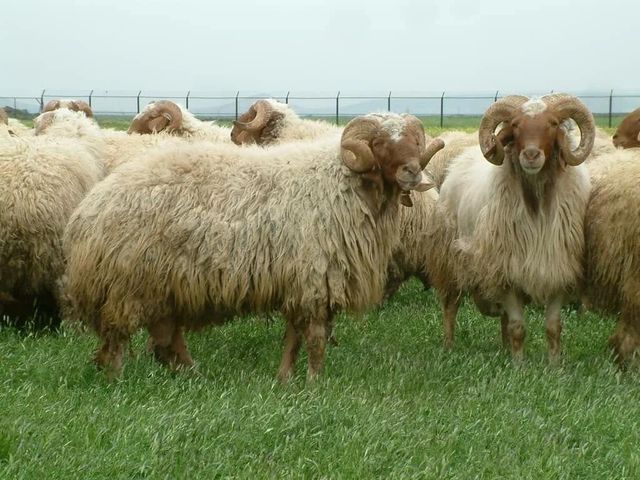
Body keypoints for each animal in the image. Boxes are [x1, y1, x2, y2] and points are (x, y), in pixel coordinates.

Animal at [59, 113, 445, 380]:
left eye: (414, 141)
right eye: (379, 144)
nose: (412, 172)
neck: (342, 183)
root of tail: (88, 208)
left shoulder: (300, 281)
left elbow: (294, 336)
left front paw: (286, 378)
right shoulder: (315, 277)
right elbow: (316, 337)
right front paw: (315, 381)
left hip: (164, 286)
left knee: (165, 336)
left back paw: (190, 374)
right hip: (128, 284)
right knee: (118, 336)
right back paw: (117, 379)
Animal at [424, 94, 595, 361]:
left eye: (554, 123)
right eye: (515, 125)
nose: (531, 155)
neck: (537, 205)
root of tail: (461, 159)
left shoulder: (558, 268)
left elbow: (553, 327)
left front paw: (554, 364)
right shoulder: (505, 269)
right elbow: (518, 328)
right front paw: (519, 365)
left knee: (502, 316)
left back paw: (504, 349)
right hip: (450, 257)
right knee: (451, 306)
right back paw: (449, 347)